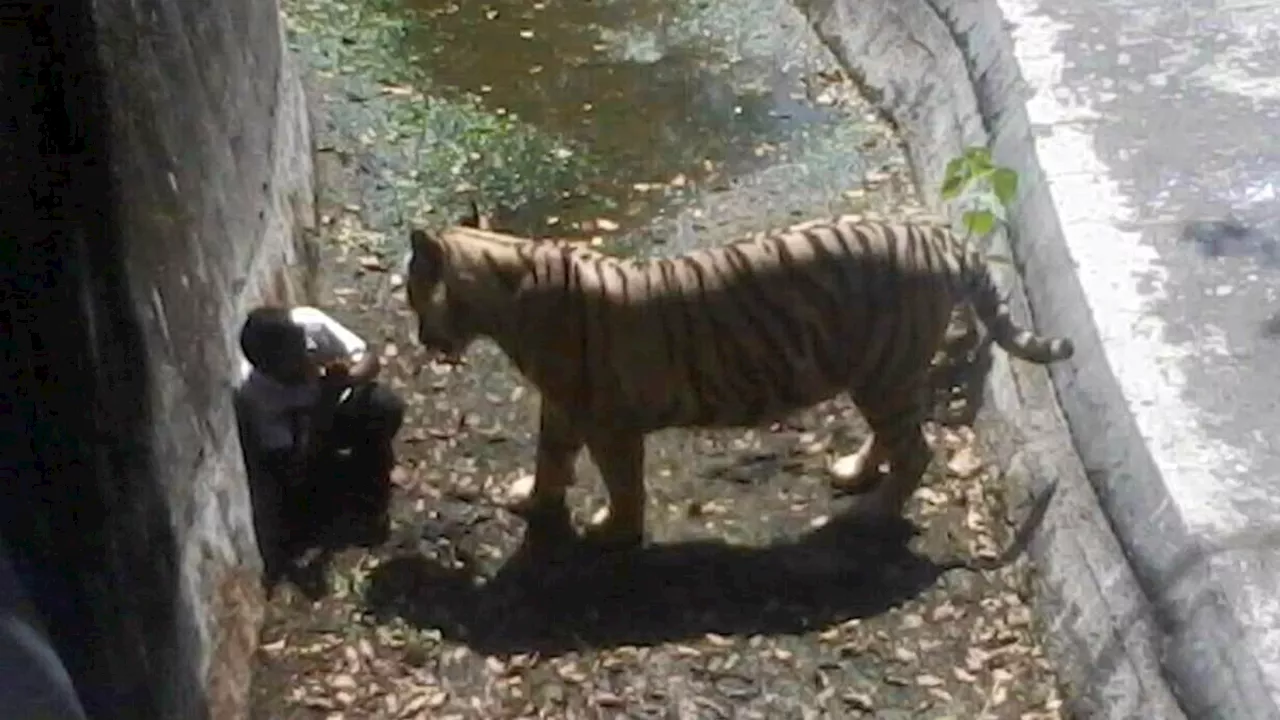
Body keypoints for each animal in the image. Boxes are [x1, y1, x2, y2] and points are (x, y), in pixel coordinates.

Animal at [401, 210, 1070, 545]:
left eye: (411, 293)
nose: (420, 338)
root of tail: (939, 238)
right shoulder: (563, 407)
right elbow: (550, 458)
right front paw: (535, 500)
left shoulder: (608, 422)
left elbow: (622, 483)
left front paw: (613, 531)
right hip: (876, 376)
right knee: (894, 438)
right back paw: (855, 473)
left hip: (886, 373)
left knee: (917, 450)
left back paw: (871, 513)